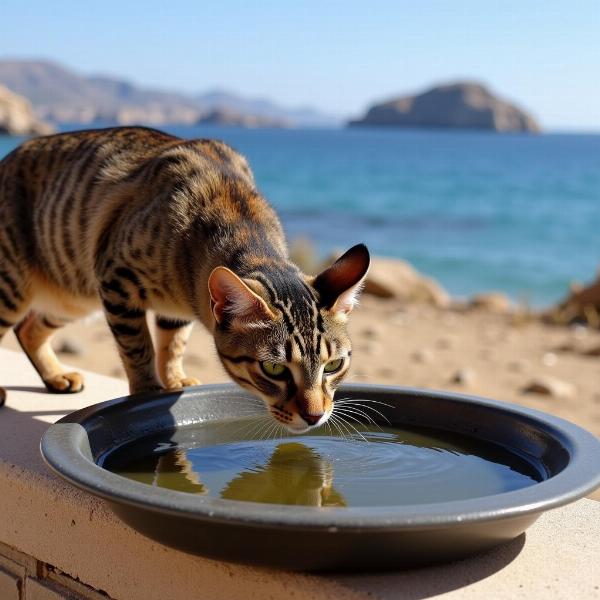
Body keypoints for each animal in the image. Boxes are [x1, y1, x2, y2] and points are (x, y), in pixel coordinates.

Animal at [0, 127, 368, 432]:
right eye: (274, 369)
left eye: (334, 365)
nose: (315, 415)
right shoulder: (116, 281)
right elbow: (139, 348)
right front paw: (147, 390)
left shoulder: (175, 310)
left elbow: (173, 344)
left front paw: (175, 380)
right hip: (16, 284)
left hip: (71, 296)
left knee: (28, 329)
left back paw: (56, 376)